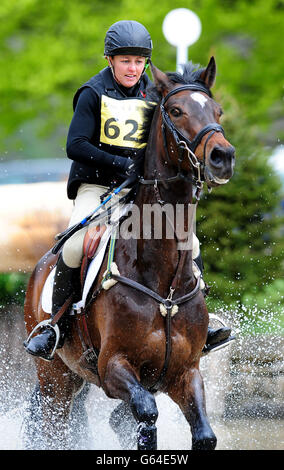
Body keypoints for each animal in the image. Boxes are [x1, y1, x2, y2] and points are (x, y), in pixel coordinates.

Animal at [22, 57, 235, 450]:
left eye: (218, 111)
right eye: (176, 111)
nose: (222, 156)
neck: (162, 280)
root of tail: (40, 266)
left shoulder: (185, 372)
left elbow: (203, 434)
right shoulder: (113, 368)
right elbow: (147, 415)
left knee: (118, 420)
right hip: (54, 377)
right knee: (56, 425)